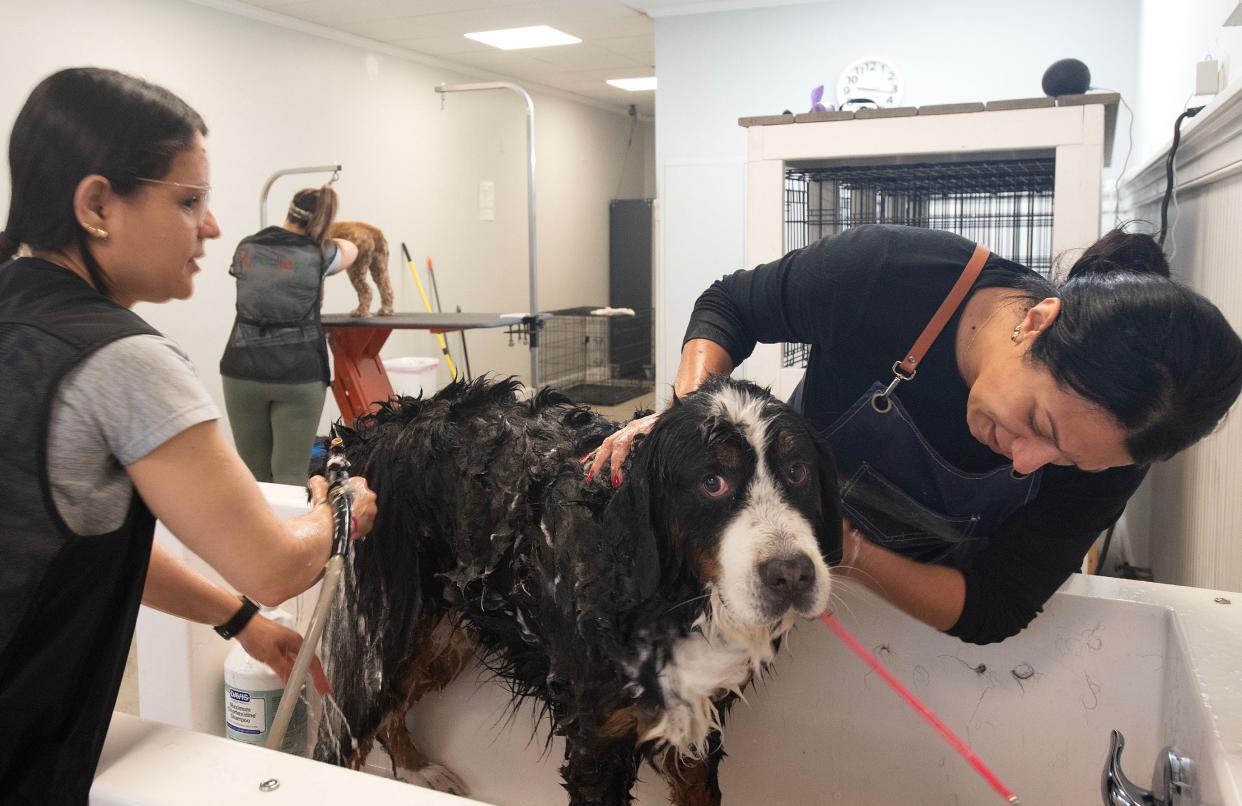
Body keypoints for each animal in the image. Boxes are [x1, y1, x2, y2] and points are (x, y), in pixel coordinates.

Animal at [315, 375, 844, 799]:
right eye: (712, 482)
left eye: (797, 471)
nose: (792, 574)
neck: (663, 597)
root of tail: (370, 428)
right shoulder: (598, 743)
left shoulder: (695, 725)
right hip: (388, 626)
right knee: (348, 729)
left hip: (453, 632)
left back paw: (417, 769)